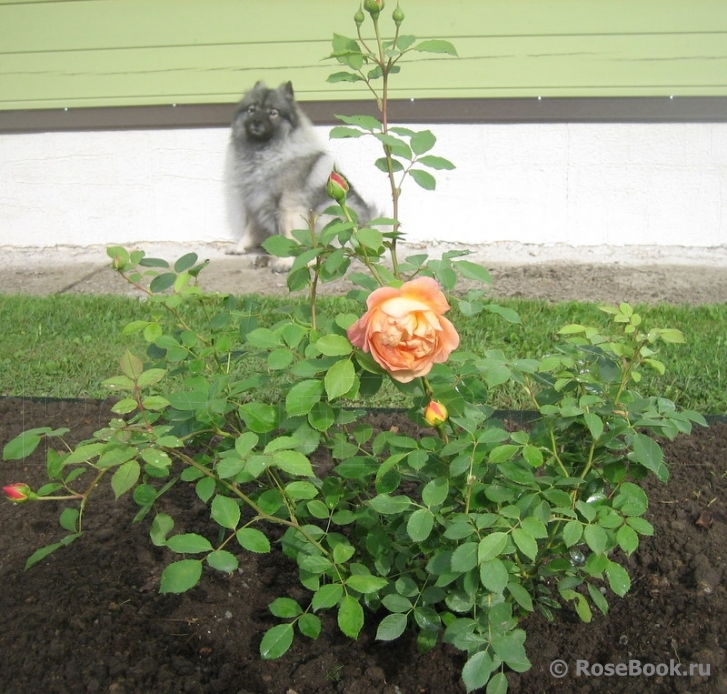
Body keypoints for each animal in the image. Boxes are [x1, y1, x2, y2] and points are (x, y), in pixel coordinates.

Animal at [226, 83, 376, 274]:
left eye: (273, 112)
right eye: (251, 110)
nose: (256, 122)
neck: (264, 154)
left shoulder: (288, 206)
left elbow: (288, 235)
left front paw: (285, 262)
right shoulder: (255, 204)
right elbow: (250, 231)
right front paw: (239, 247)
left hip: (331, 214)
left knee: (330, 253)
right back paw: (266, 259)